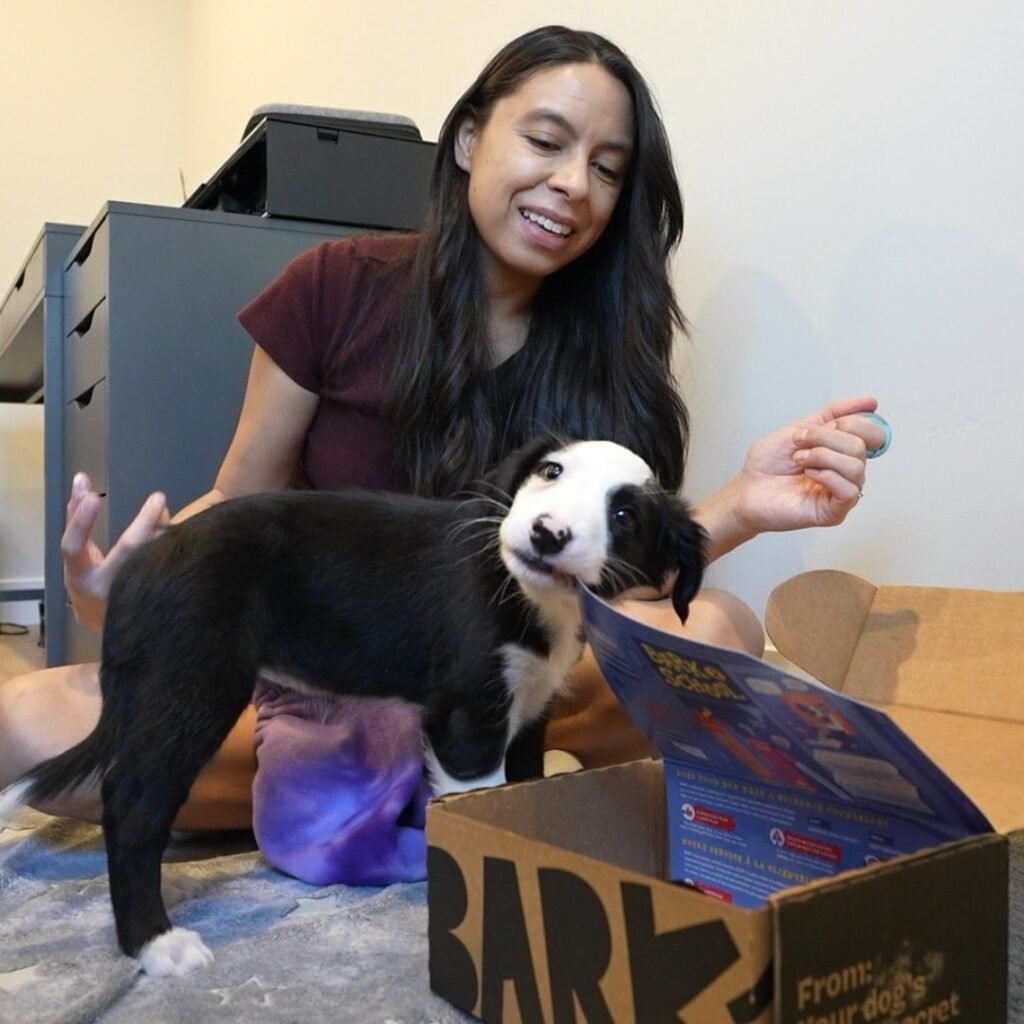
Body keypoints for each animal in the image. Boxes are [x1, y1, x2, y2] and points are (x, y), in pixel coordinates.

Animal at [0, 434, 704, 974]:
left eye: (625, 518)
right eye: (551, 472)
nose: (547, 533)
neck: (527, 592)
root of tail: (141, 563)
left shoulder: (528, 711)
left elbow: (524, 800)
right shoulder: (468, 721)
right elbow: (475, 803)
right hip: (189, 686)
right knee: (132, 806)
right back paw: (154, 943)